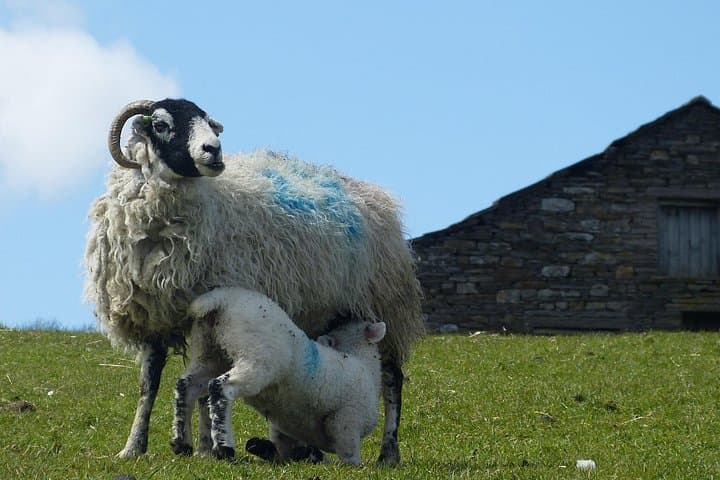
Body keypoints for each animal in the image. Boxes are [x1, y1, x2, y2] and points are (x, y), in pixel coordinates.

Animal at [175, 287, 386, 465]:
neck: (361, 362)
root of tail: (220, 299)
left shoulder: (284, 430)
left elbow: (286, 450)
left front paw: (267, 449)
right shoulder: (346, 420)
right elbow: (347, 455)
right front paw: (351, 467)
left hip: (209, 353)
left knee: (186, 386)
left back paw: (181, 443)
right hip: (256, 359)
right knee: (221, 388)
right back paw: (223, 447)